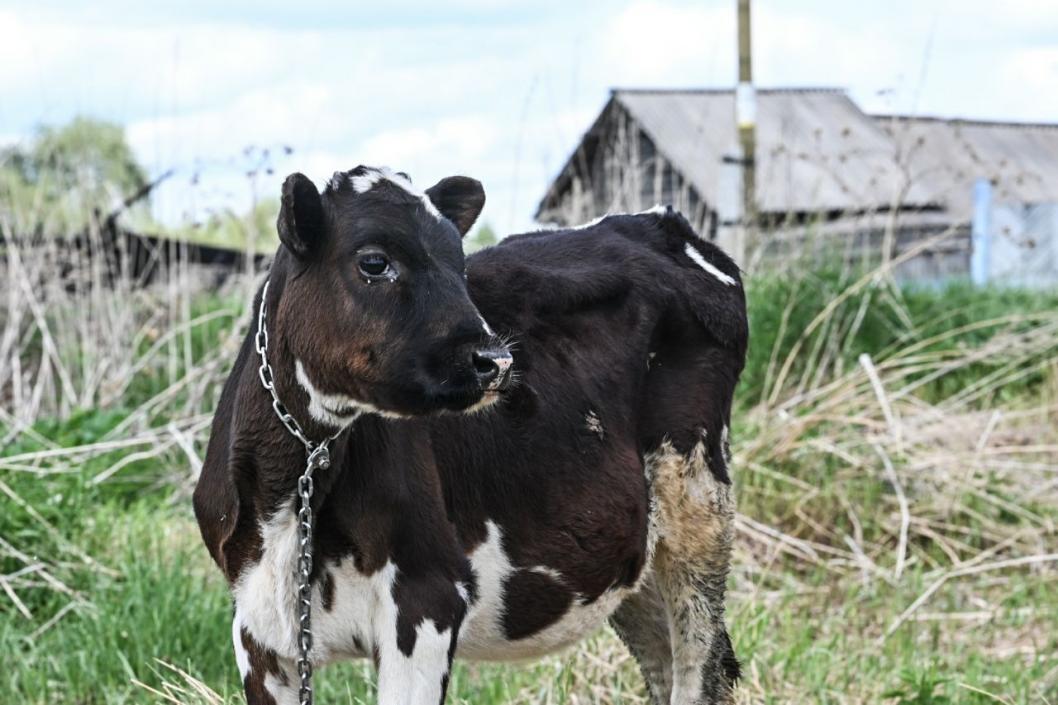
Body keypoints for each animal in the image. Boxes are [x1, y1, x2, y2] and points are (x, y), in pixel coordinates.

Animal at [192, 165, 753, 702]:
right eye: (374, 262)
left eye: (458, 264)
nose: (496, 360)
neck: (291, 490)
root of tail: (661, 222)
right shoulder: (257, 629)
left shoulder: (427, 599)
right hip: (629, 548)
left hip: (698, 502)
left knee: (700, 670)